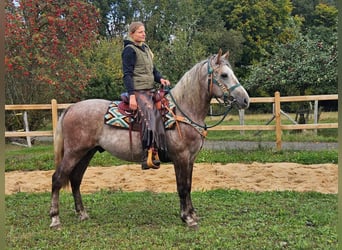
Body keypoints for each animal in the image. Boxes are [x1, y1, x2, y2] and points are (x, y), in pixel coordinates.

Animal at [49, 48, 250, 229]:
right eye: (224, 75)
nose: (246, 100)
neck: (182, 111)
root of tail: (70, 108)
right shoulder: (181, 157)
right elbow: (182, 187)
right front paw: (187, 218)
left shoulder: (190, 159)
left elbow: (189, 185)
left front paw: (192, 214)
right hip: (74, 152)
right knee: (58, 178)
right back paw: (55, 219)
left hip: (87, 152)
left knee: (75, 179)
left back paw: (82, 214)